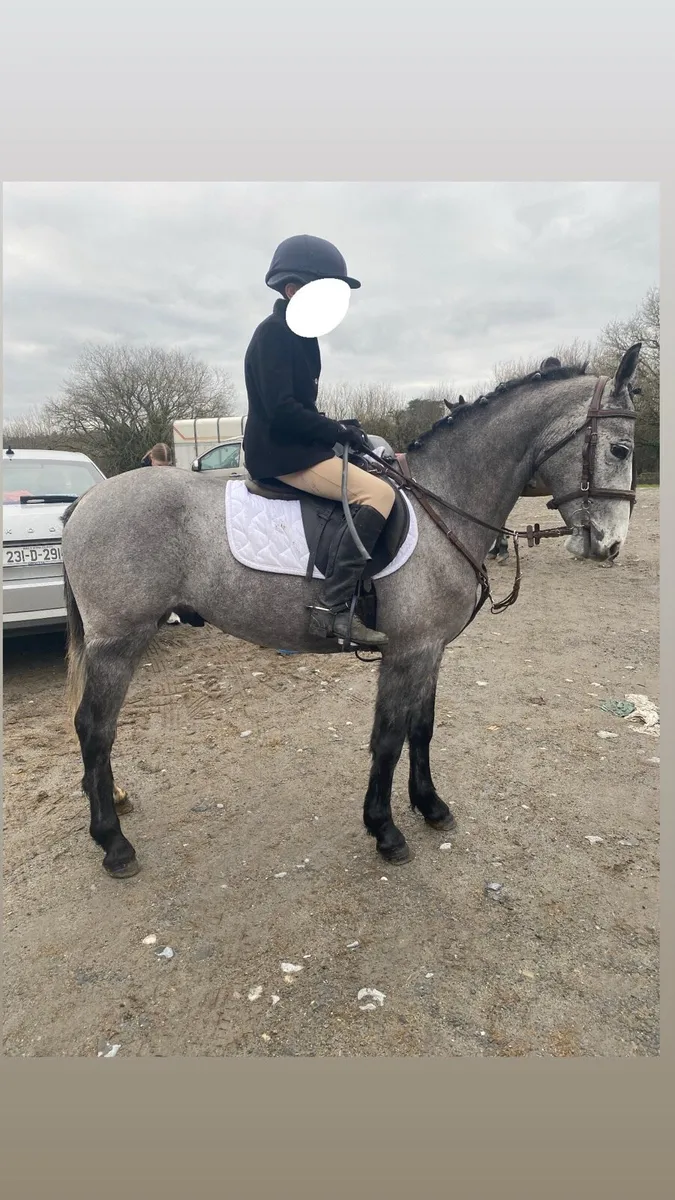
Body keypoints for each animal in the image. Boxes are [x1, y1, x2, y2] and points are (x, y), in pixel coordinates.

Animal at [61, 345, 641, 879]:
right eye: (619, 447)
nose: (610, 545)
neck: (442, 502)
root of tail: (87, 500)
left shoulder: (430, 649)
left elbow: (421, 728)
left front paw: (431, 806)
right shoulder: (407, 651)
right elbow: (388, 738)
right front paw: (385, 830)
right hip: (119, 641)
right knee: (94, 728)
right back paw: (113, 842)